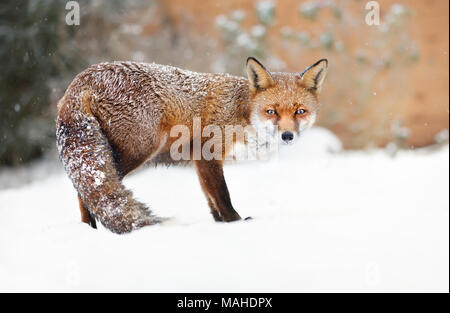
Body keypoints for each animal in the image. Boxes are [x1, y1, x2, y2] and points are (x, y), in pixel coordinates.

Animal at [58, 56, 328, 232]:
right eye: (271, 111)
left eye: (300, 111)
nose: (287, 136)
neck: (240, 110)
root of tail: (79, 81)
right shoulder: (207, 154)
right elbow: (222, 196)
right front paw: (236, 224)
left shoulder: (200, 162)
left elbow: (211, 200)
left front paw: (220, 225)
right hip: (137, 151)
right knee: (87, 191)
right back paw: (90, 230)